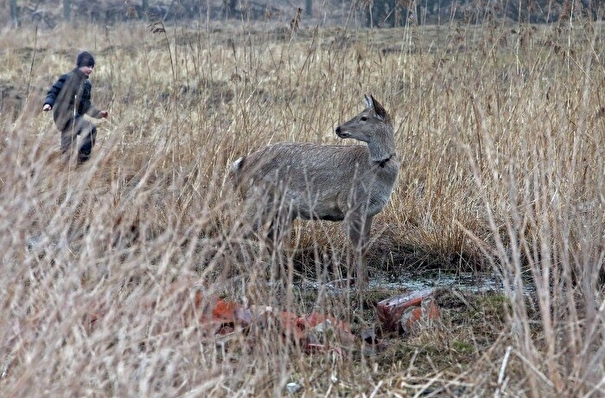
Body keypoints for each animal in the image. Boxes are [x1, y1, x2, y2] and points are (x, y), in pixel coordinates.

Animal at [229, 94, 398, 284]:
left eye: (364, 117)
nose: (338, 128)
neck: (376, 171)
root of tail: (240, 164)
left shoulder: (369, 213)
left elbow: (365, 248)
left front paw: (365, 282)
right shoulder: (351, 205)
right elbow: (359, 249)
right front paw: (360, 284)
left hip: (283, 210)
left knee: (270, 238)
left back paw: (279, 278)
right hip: (259, 200)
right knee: (237, 232)